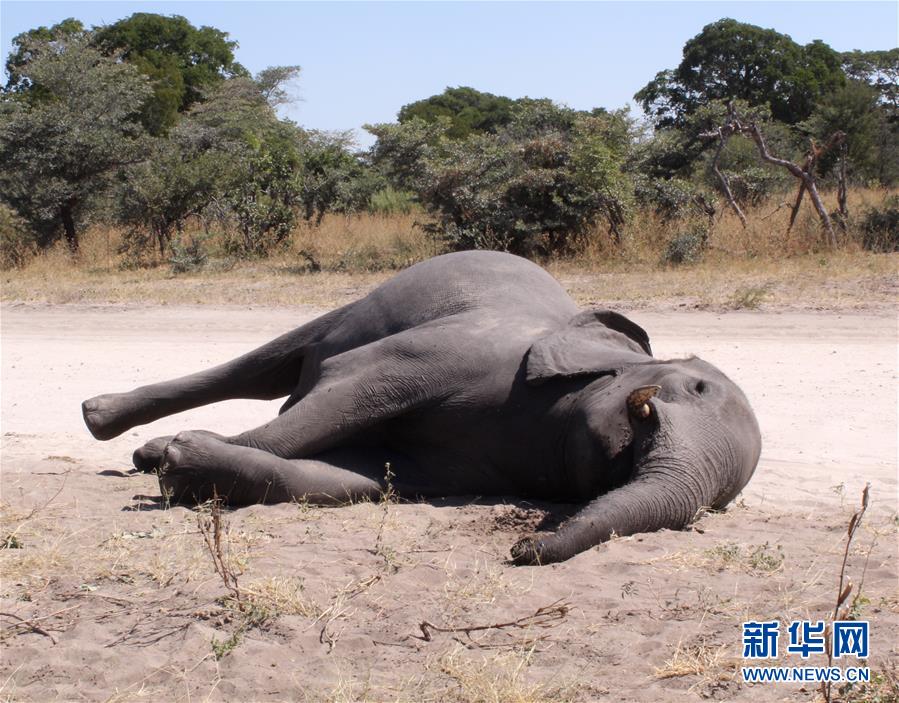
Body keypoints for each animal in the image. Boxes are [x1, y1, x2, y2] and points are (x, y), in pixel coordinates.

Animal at [82, 251, 761, 565]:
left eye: (715, 508)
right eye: (695, 389)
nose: (524, 547)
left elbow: (356, 478)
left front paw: (182, 464)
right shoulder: (464, 352)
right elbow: (343, 394)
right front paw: (170, 458)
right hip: (365, 303)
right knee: (267, 367)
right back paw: (105, 421)